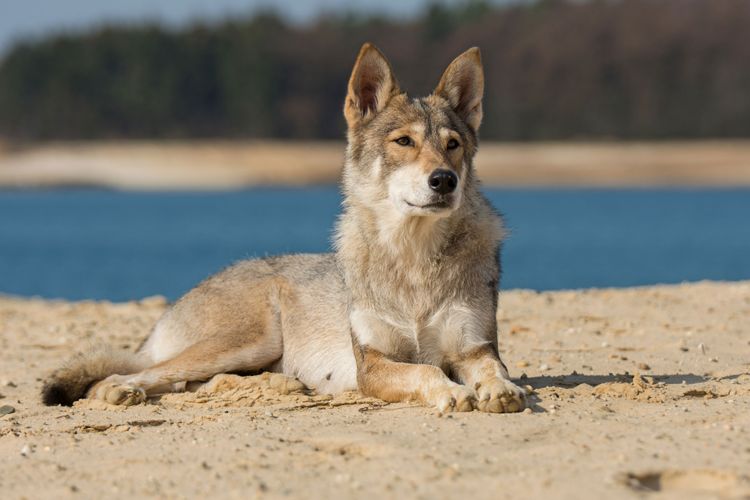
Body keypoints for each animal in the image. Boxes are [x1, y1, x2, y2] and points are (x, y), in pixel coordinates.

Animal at [41, 43, 528, 412]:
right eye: (404, 142)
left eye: (453, 145)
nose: (444, 180)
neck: (414, 259)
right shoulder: (372, 365)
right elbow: (426, 370)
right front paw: (454, 392)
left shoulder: (475, 347)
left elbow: (492, 369)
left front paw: (501, 390)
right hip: (251, 340)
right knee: (136, 375)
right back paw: (120, 390)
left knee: (197, 382)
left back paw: (284, 385)